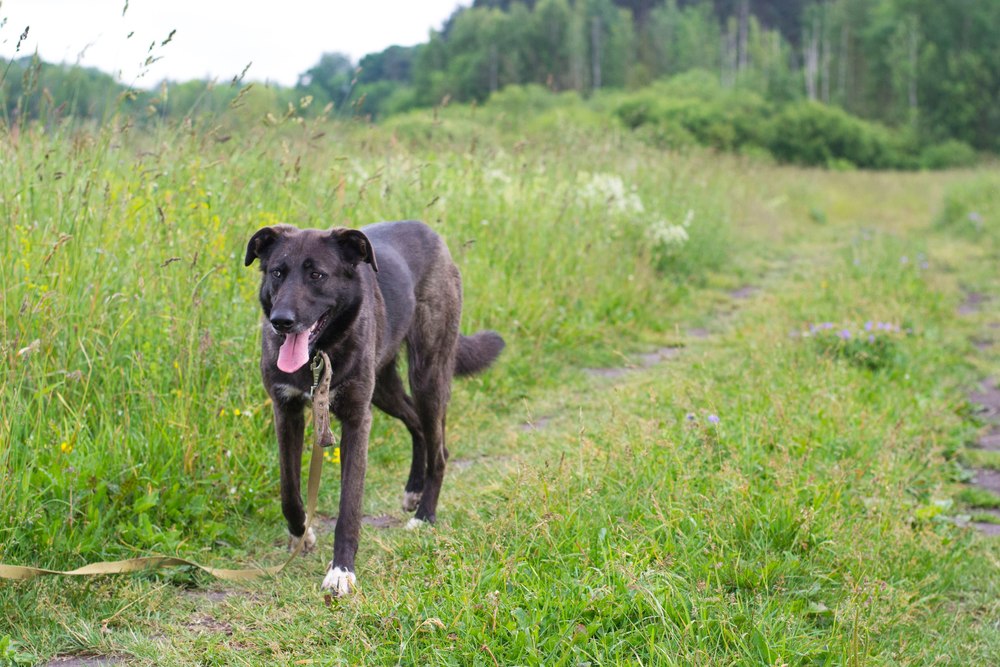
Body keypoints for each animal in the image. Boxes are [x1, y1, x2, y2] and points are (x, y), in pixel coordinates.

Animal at [246, 220, 504, 596]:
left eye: (317, 275)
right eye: (278, 272)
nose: (281, 321)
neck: (320, 354)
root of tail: (429, 232)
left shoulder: (357, 419)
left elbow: (349, 506)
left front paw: (341, 571)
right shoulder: (287, 411)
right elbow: (289, 490)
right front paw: (301, 534)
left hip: (427, 376)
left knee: (439, 448)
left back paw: (424, 514)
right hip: (383, 389)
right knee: (418, 426)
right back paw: (414, 489)